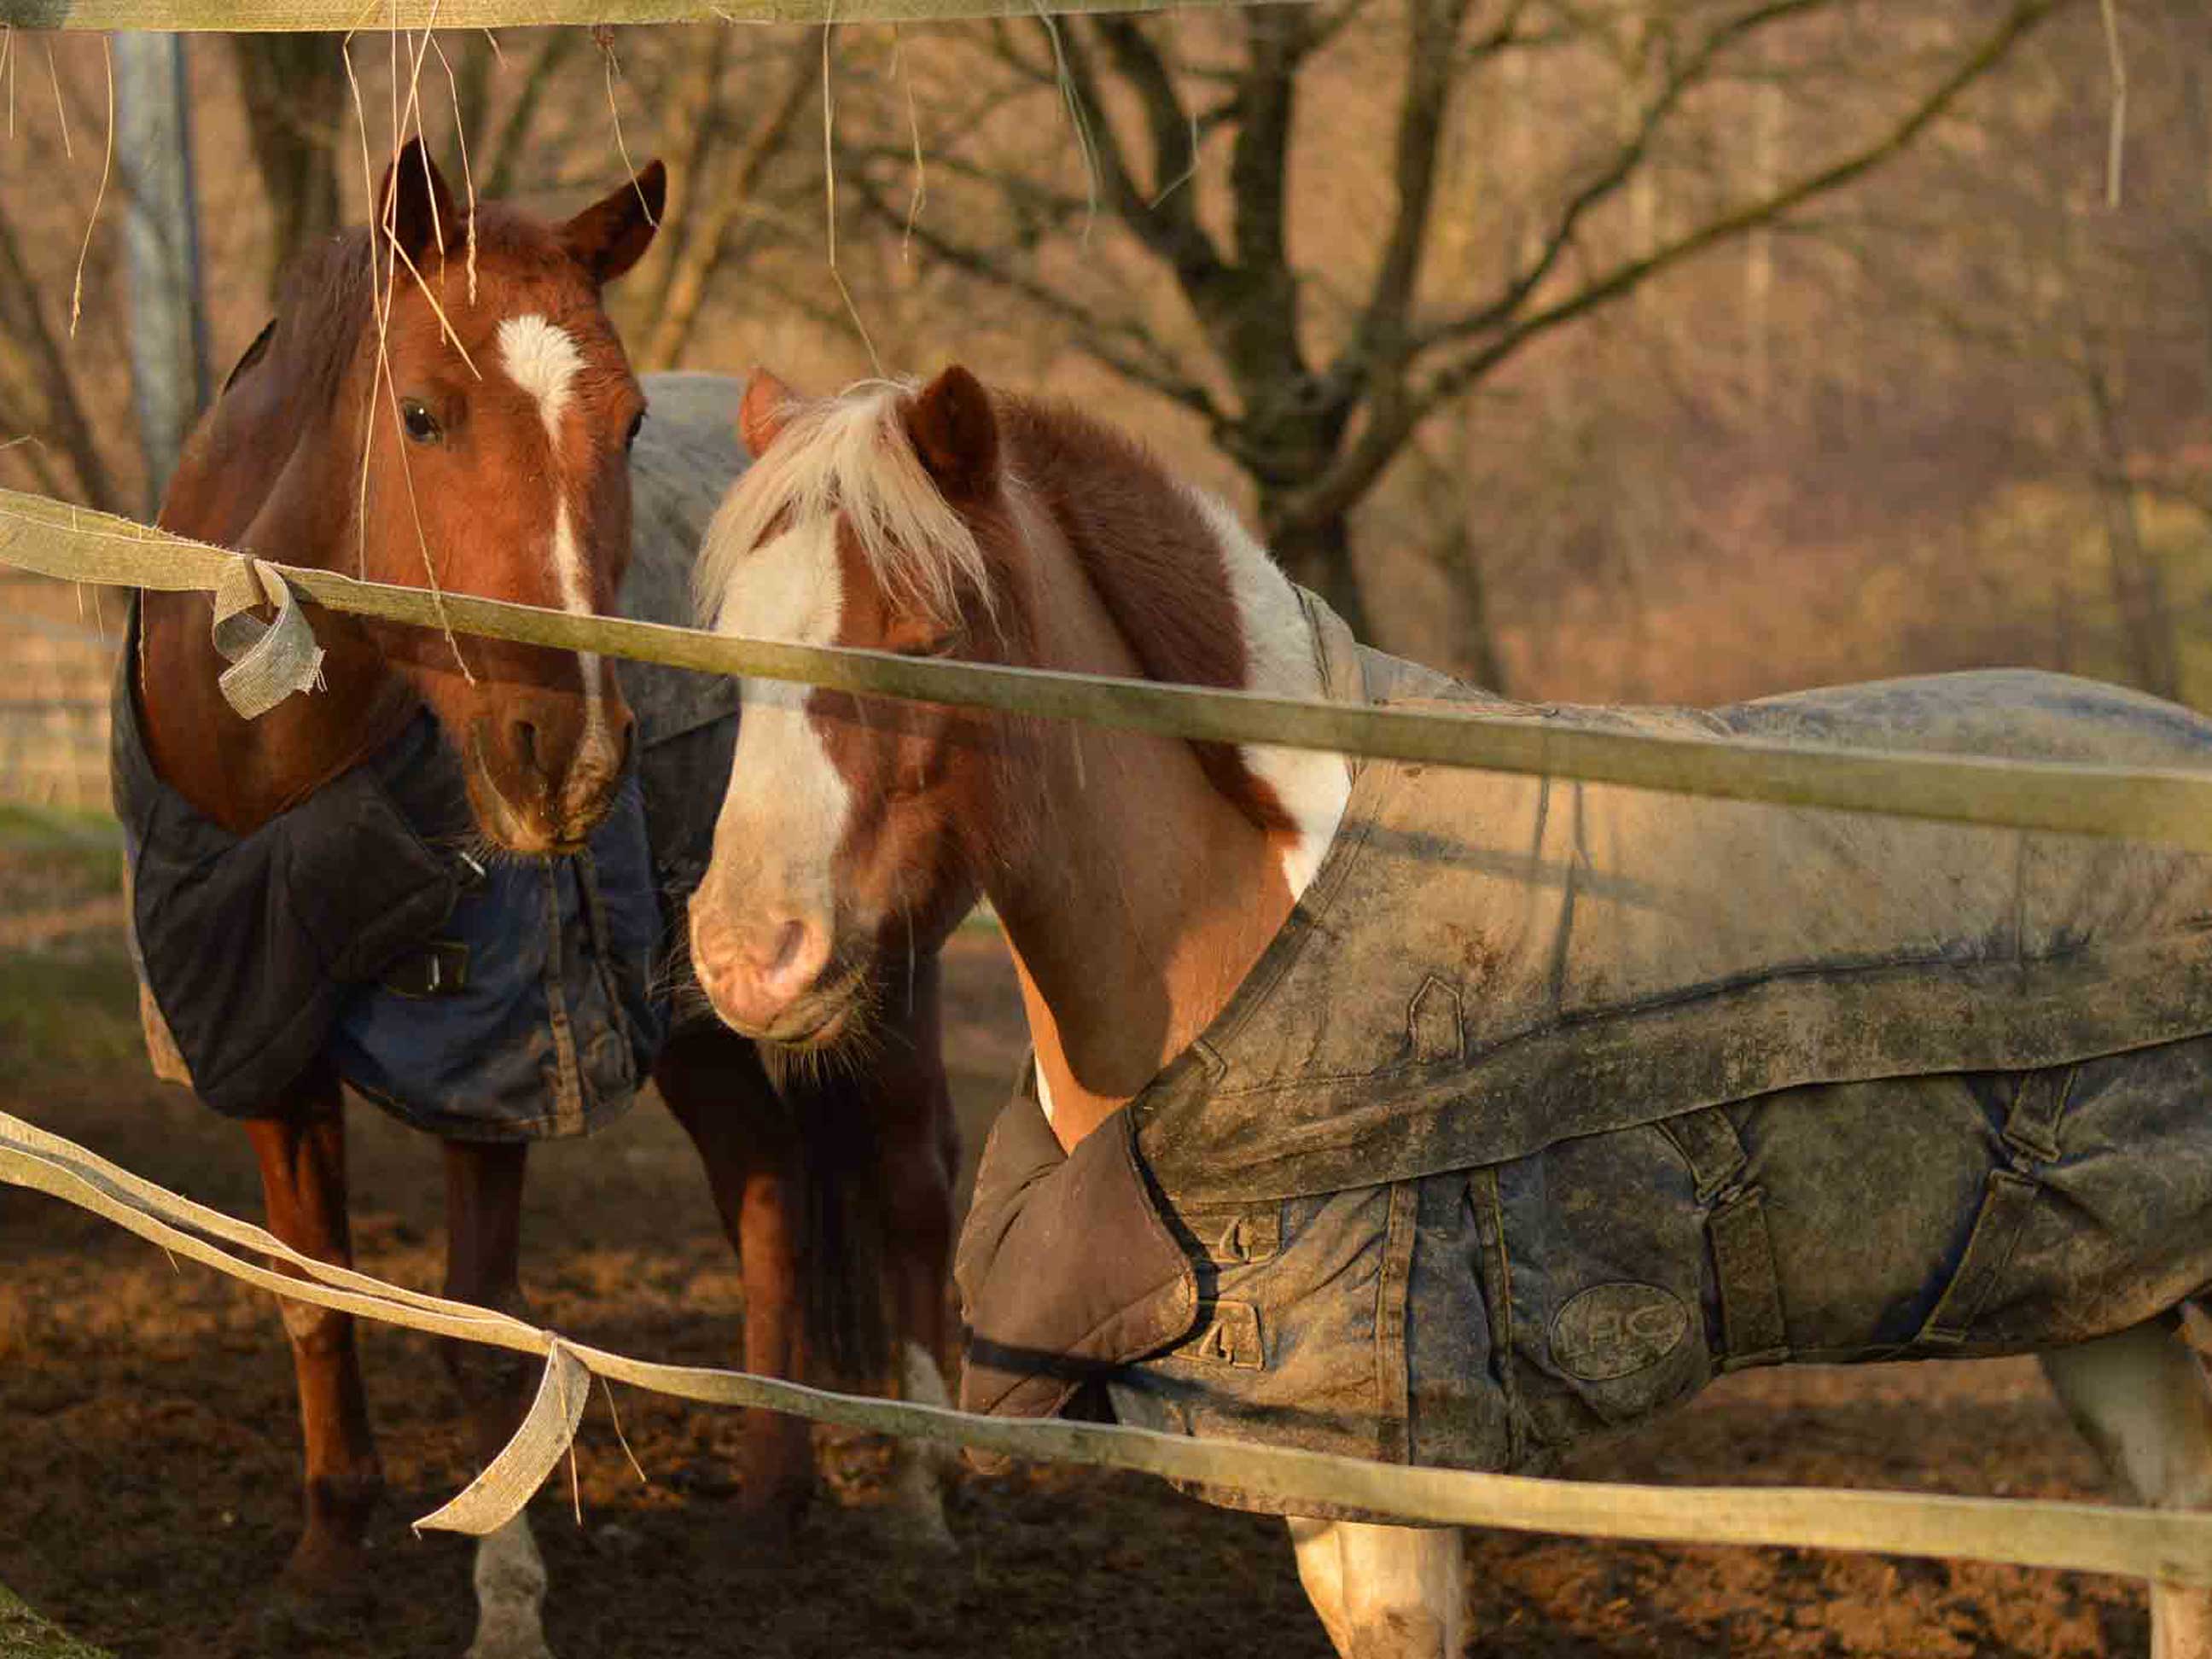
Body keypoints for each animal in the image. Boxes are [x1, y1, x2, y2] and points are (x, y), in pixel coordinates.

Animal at [130, 154, 957, 1659]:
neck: (283, 784)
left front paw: (505, 1593)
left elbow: (487, 1328)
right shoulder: (259, 1032)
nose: (563, 753)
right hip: (707, 1015)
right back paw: (768, 1504)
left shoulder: (496, 1067)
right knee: (765, 1191)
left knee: (915, 1190)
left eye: (627, 426)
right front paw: (327, 1552)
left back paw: (923, 1505)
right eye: (422, 414)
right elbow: (311, 1292)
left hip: (882, 985)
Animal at [683, 362, 2212, 1659]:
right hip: (2110, 1310)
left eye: (928, 636)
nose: (749, 959)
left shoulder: (1392, 1460)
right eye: (725, 646)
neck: (1262, 909)